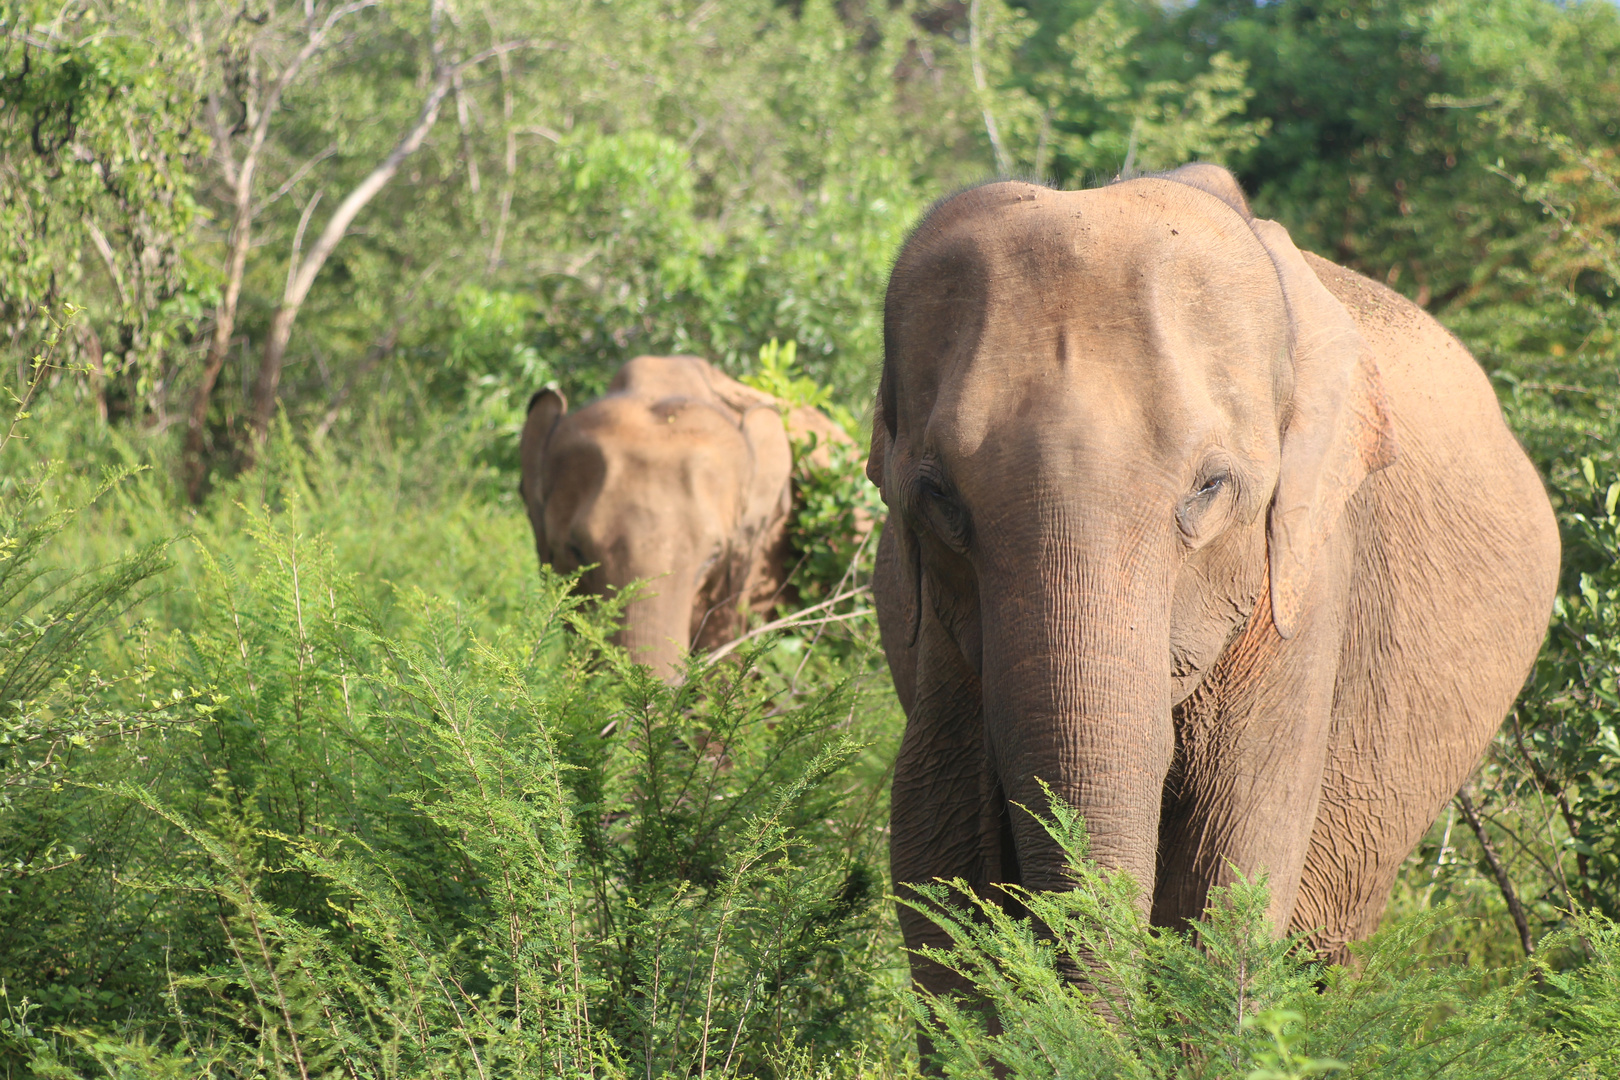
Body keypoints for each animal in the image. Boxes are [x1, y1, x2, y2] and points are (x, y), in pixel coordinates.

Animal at [868, 165, 1561, 1010]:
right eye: (939, 496)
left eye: (1209, 489)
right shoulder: (938, 620)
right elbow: (935, 841)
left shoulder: (1303, 575)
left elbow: (1234, 856)